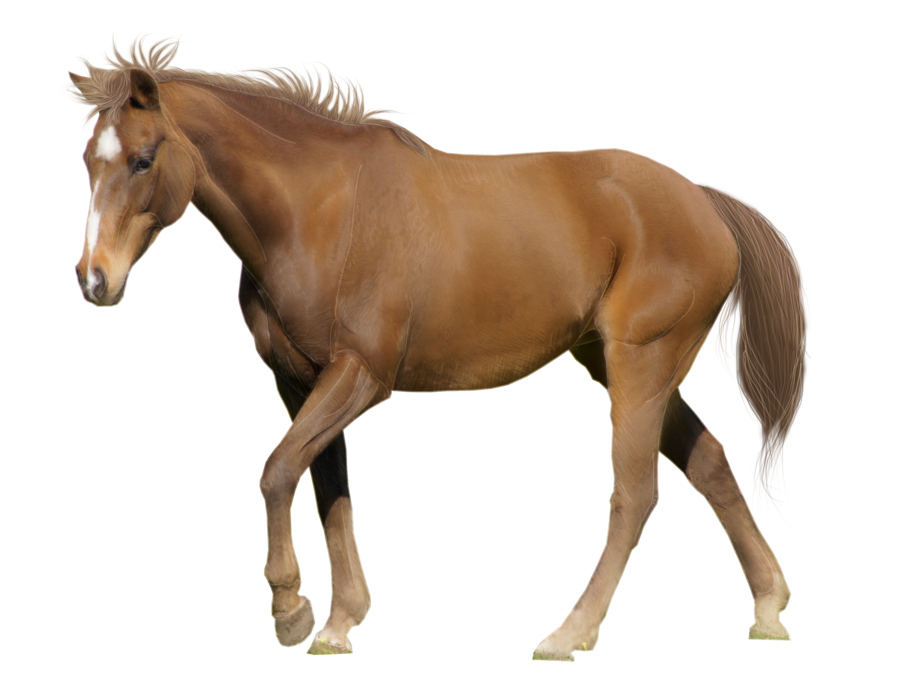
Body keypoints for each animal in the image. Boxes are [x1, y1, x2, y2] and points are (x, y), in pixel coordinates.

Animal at [58, 31, 811, 660]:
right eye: (89, 160)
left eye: (143, 159)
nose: (95, 280)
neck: (319, 213)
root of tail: (703, 201)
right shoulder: (301, 382)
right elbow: (328, 485)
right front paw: (339, 622)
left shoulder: (361, 376)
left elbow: (277, 471)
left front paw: (292, 612)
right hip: (621, 363)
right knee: (710, 464)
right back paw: (768, 609)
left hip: (641, 363)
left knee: (633, 494)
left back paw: (568, 634)